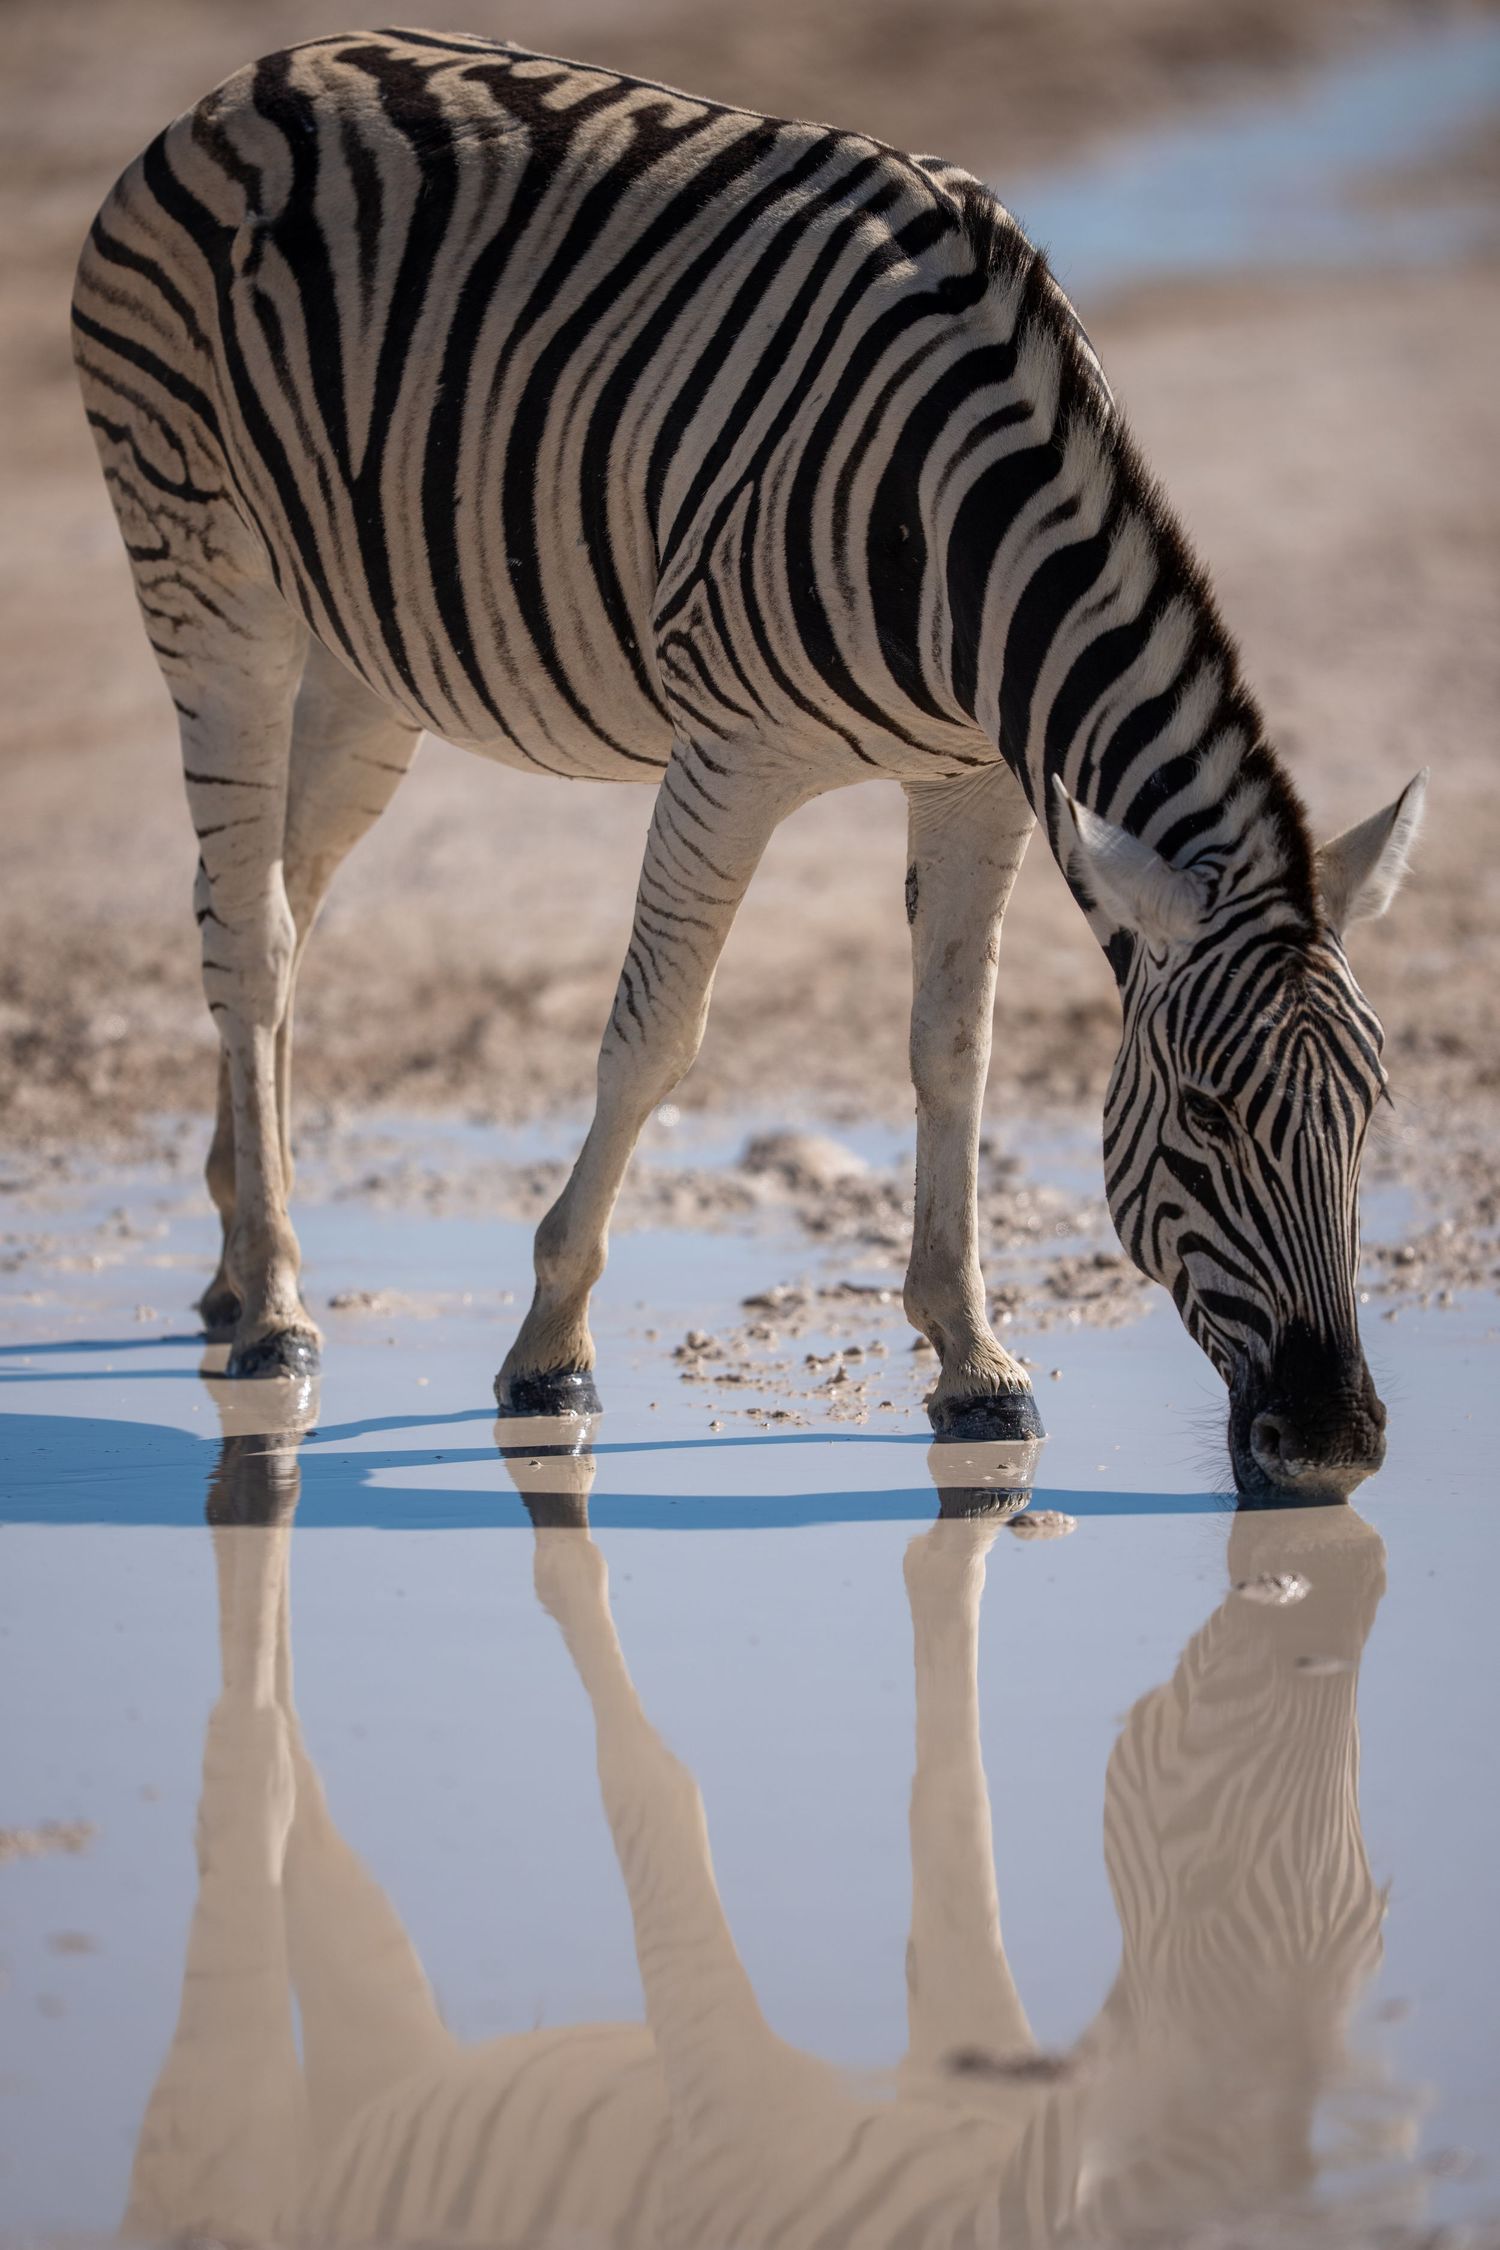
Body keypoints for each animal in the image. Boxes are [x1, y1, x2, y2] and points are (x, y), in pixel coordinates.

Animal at [71, 30, 1426, 1498]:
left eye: (1372, 1114)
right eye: (1210, 1118)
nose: (1333, 1448)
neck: (968, 544)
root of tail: (249, 80)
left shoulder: (980, 781)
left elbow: (954, 1048)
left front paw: (973, 1361)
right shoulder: (731, 754)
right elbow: (654, 1038)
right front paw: (549, 1347)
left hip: (366, 661)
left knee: (263, 898)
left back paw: (230, 1254)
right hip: (209, 580)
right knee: (251, 933)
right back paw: (273, 1304)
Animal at [124, 1412, 1411, 2248]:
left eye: (1368, 1924)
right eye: (1216, 1886)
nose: (1323, 1480)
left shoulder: (967, 2063)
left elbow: (951, 1826)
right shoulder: (718, 2113)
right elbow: (656, 1788)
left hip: (380, 2066)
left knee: (309, 1848)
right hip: (227, 2105)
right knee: (240, 1794)